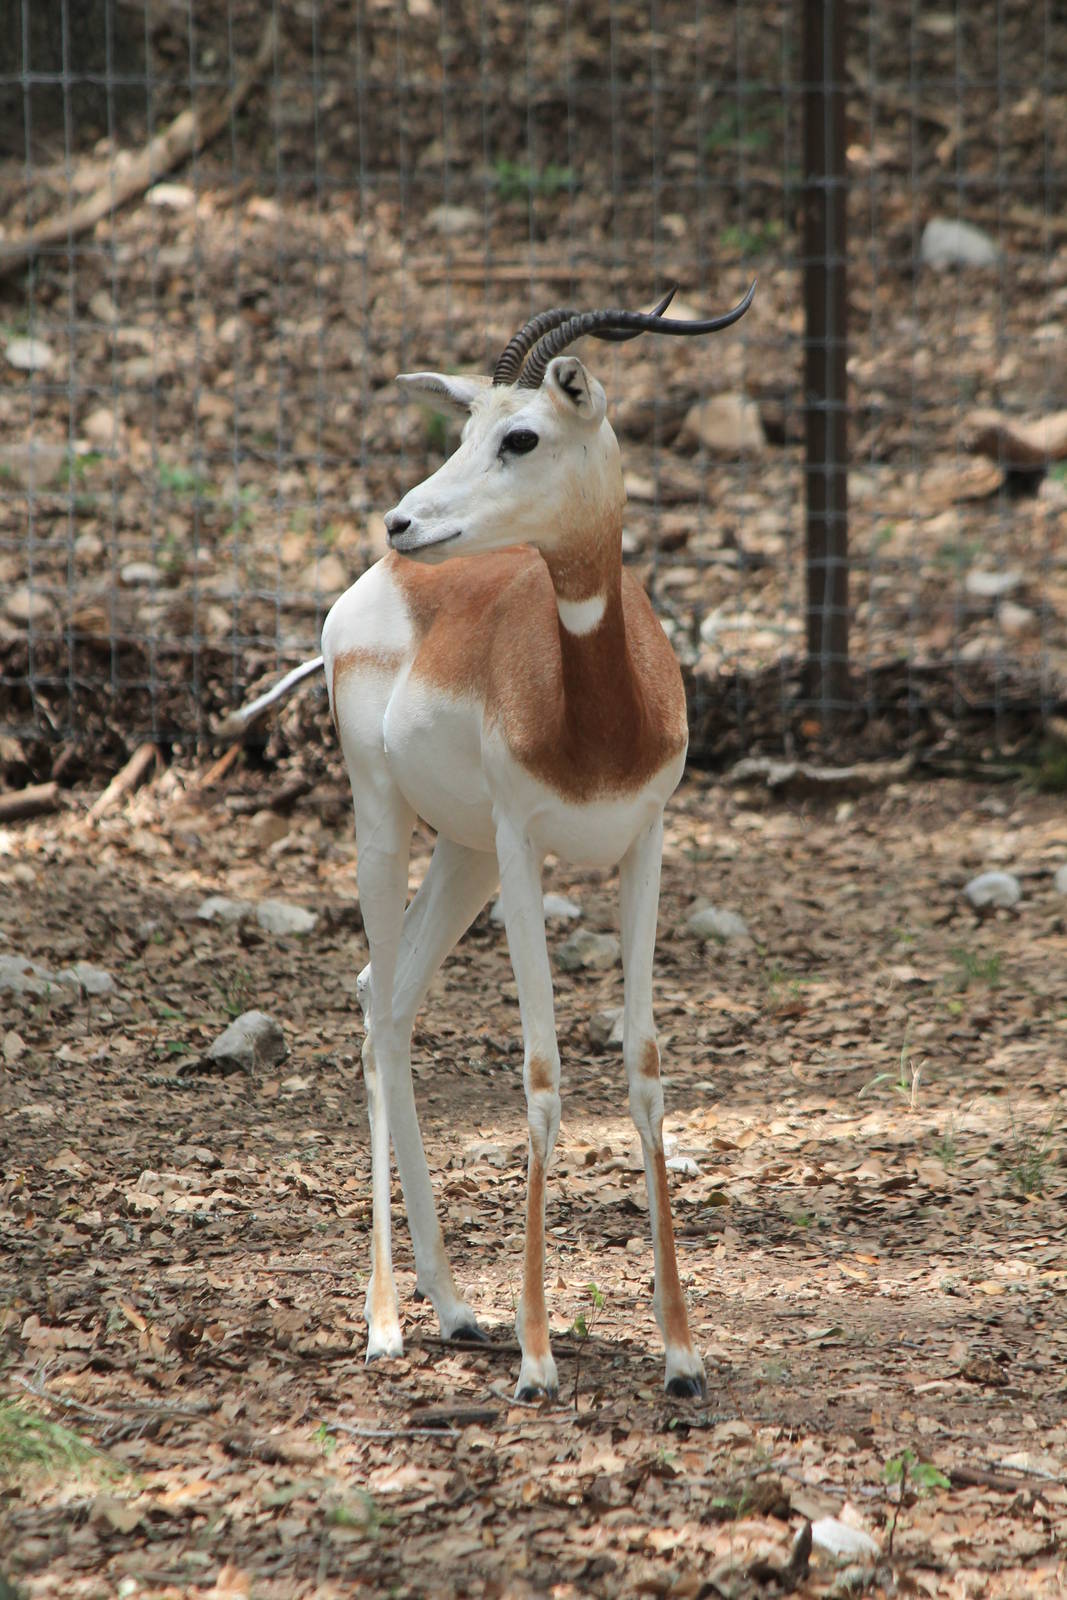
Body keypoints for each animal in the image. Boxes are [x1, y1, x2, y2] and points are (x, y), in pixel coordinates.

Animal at [227, 285, 754, 1398]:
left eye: (520, 435)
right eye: (464, 429)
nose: (403, 518)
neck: (596, 704)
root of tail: (372, 588)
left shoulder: (645, 841)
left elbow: (644, 1067)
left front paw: (681, 1353)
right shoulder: (523, 846)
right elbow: (543, 1075)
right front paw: (539, 1358)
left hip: (460, 857)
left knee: (384, 994)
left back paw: (455, 1306)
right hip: (383, 824)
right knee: (378, 1006)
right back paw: (388, 1319)